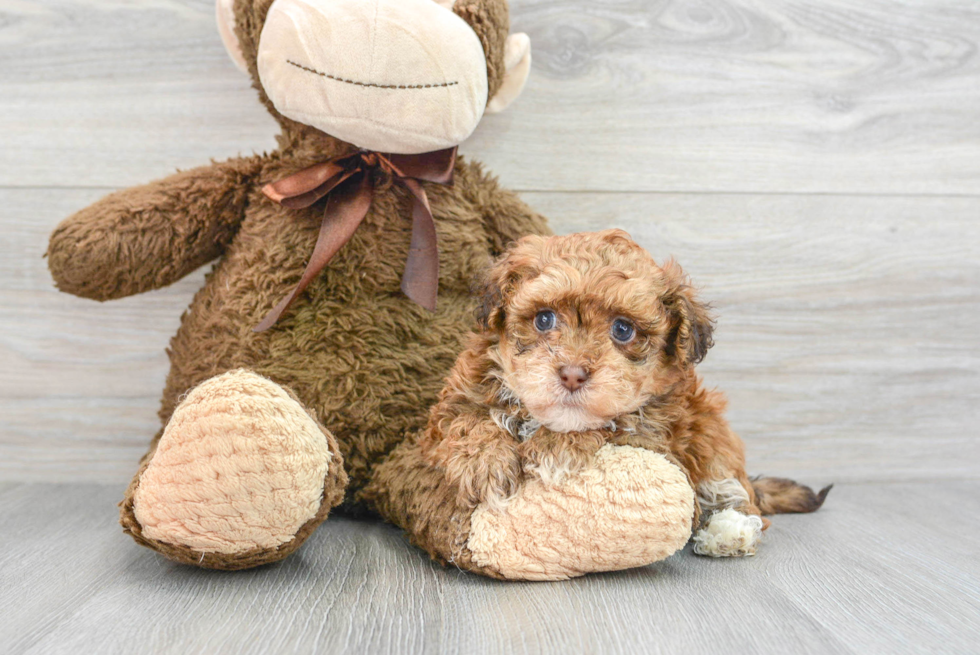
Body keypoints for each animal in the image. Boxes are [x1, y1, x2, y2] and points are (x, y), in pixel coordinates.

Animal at [424, 231, 832, 560]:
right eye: (543, 319)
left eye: (623, 330)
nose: (572, 374)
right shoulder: (456, 399)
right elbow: (468, 418)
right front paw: (483, 461)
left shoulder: (655, 432)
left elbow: (614, 422)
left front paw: (556, 447)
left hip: (712, 436)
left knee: (733, 493)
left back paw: (729, 532)